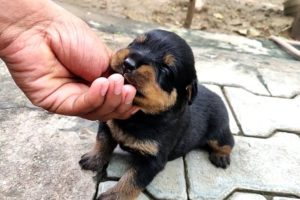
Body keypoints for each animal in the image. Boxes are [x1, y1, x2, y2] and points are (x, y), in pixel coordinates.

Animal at [79, 28, 234, 199]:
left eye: (166, 69)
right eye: (133, 43)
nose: (128, 63)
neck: (139, 116)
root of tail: (218, 97)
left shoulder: (153, 160)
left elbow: (132, 179)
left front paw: (114, 195)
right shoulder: (108, 124)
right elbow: (102, 141)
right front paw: (93, 159)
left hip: (219, 131)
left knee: (228, 142)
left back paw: (221, 157)